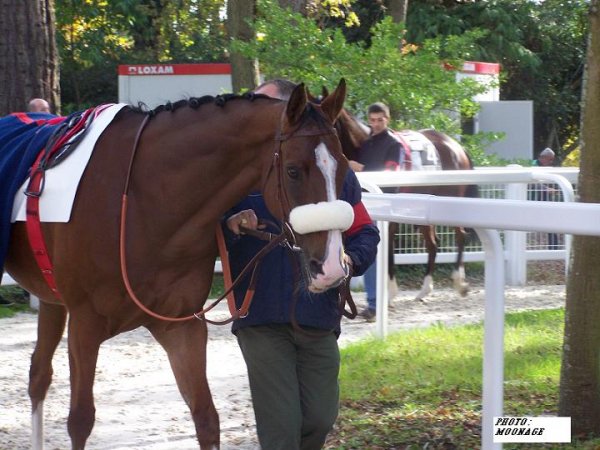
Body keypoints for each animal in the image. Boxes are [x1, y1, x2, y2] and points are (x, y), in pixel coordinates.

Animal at [4, 80, 350, 450]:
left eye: (344, 167)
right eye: (293, 170)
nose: (331, 266)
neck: (141, 203)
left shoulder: (180, 326)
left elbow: (206, 417)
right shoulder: (84, 324)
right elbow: (80, 420)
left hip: (52, 299)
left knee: (38, 374)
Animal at [336, 107, 476, 300]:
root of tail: (457, 146)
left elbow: (387, 247)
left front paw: (389, 293)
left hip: (452, 202)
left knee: (460, 236)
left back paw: (459, 283)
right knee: (433, 243)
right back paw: (425, 289)